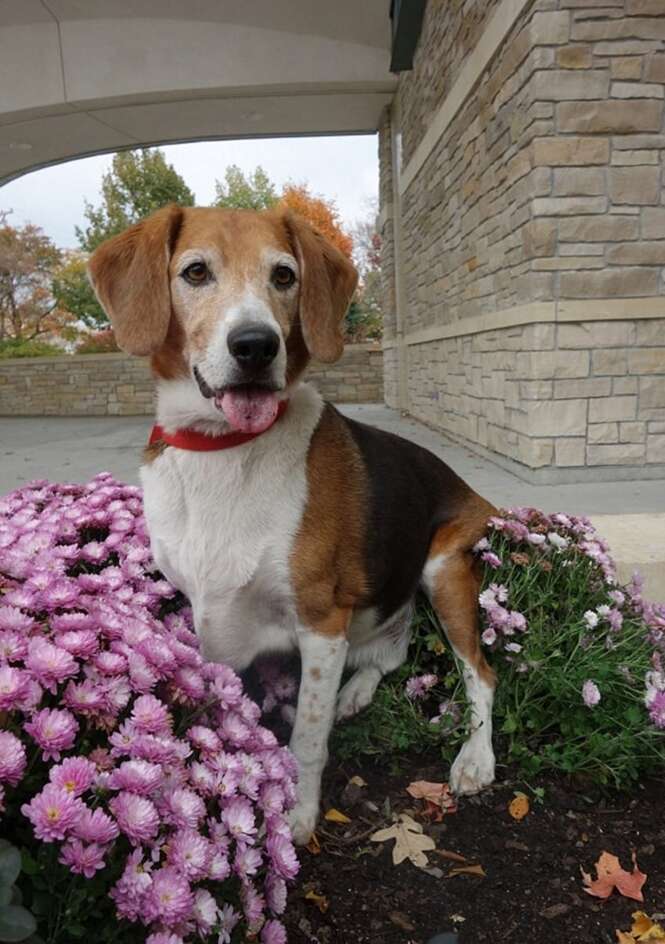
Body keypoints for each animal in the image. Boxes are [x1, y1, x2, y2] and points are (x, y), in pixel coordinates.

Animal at [88, 205, 496, 840]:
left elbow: (305, 736)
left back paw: (476, 758)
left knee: (480, 674)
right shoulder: (210, 618)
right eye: (196, 271)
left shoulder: (321, 623)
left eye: (284, 276)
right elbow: (230, 709)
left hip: (445, 569)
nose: (256, 345)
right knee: (393, 650)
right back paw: (359, 688)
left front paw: (299, 816)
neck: (223, 447)